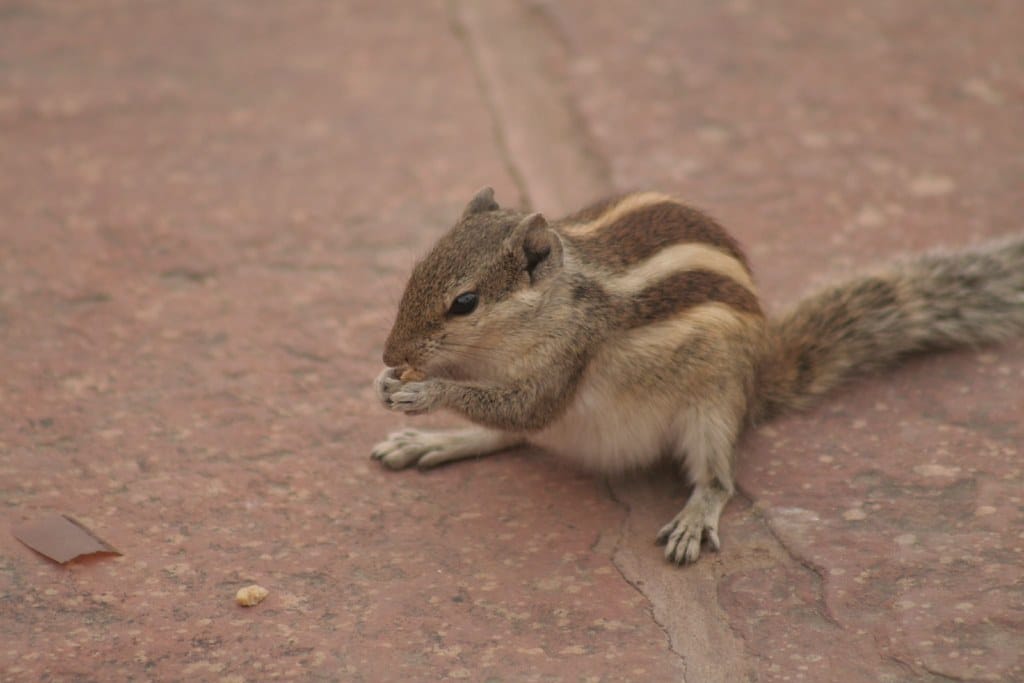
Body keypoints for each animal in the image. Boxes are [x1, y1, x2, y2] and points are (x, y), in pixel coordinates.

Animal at [371, 187, 1024, 565]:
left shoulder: (567, 359)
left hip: (713, 407)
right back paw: (435, 442)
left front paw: (427, 392)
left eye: (465, 303)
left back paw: (694, 516)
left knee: (718, 478)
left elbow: (525, 408)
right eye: (417, 271)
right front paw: (394, 389)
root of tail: (758, 381)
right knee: (511, 438)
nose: (388, 353)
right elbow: (506, 417)